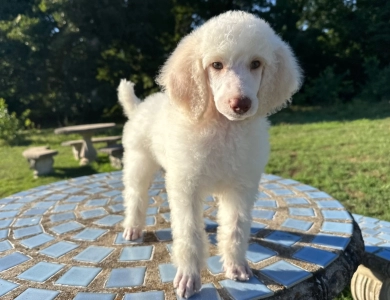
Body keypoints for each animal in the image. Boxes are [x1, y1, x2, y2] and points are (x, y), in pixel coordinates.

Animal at [119, 10, 302, 298]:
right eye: (216, 65)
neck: (223, 131)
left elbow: (236, 228)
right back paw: (133, 227)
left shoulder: (241, 188)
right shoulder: (186, 188)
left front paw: (236, 266)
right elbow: (189, 234)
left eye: (256, 64)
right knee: (135, 195)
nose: (241, 104)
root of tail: (140, 106)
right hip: (139, 161)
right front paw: (189, 277)